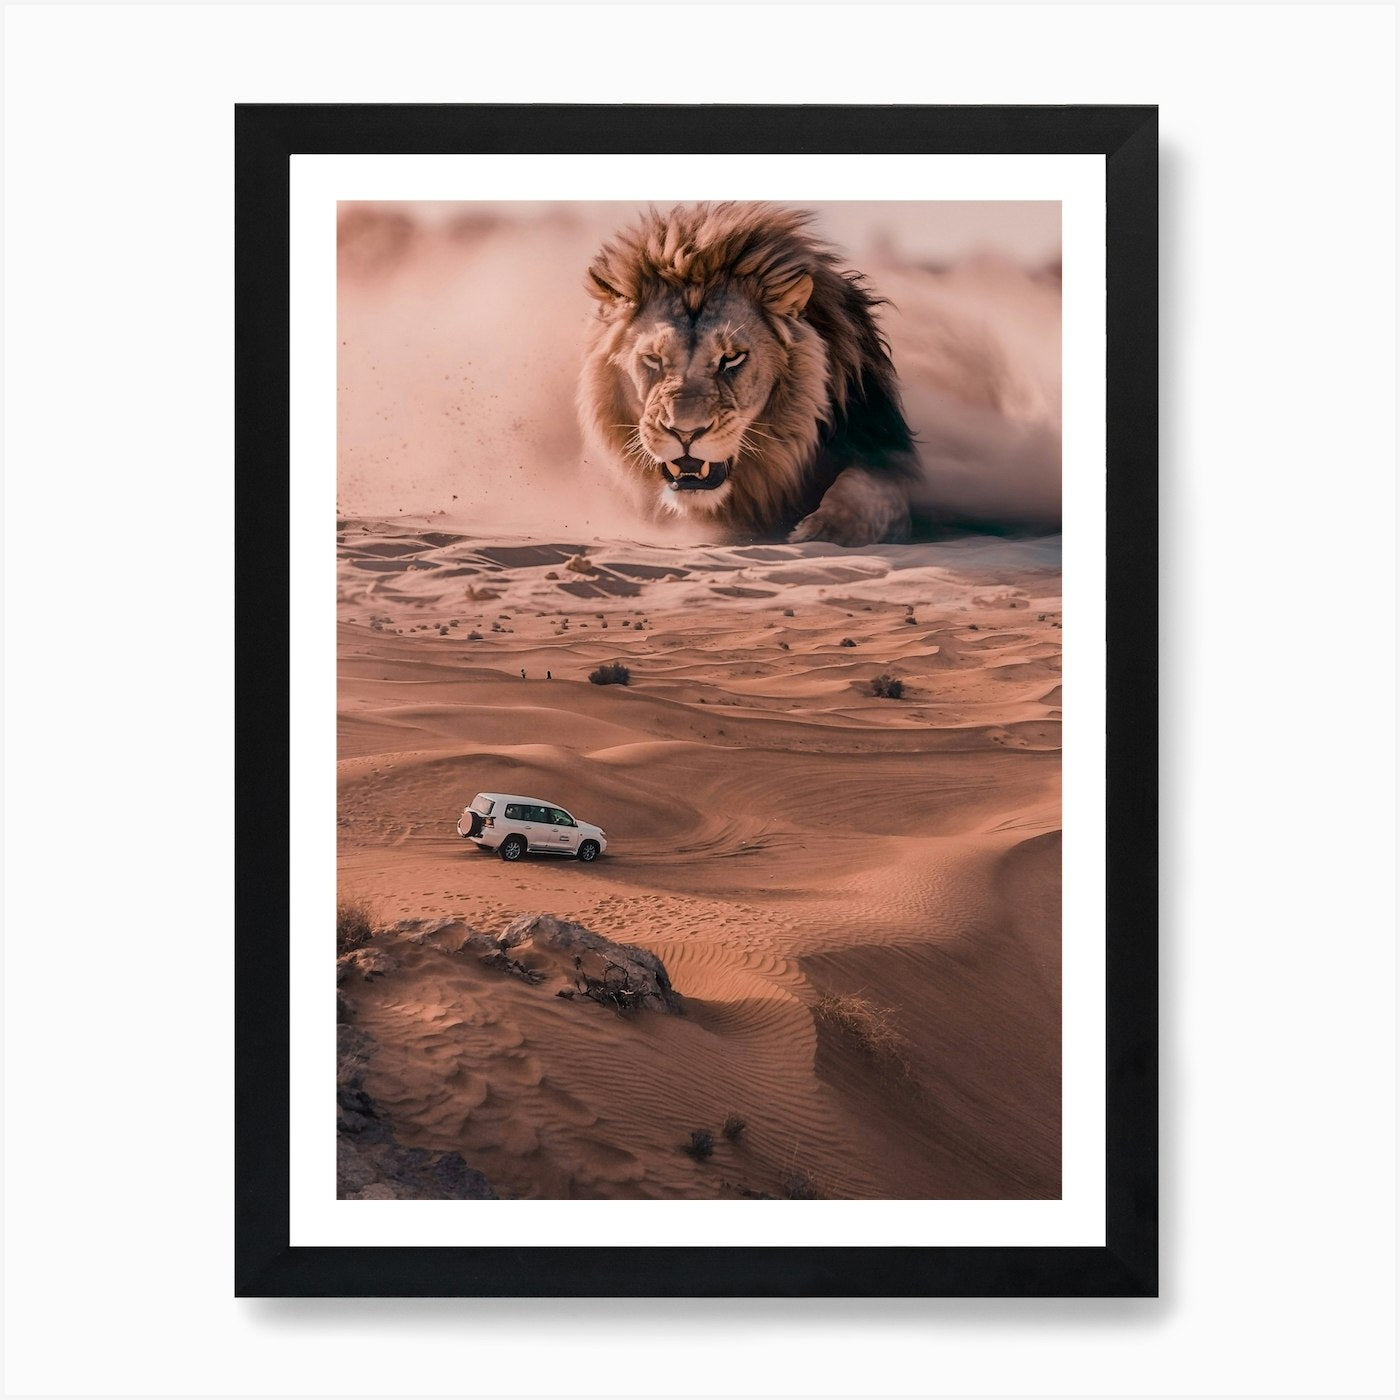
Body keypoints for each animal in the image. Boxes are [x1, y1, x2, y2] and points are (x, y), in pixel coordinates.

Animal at [578, 202, 920, 546]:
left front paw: (818, 529)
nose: (685, 433)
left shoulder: (881, 443)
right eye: (653, 358)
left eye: (731, 358)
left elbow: (870, 492)